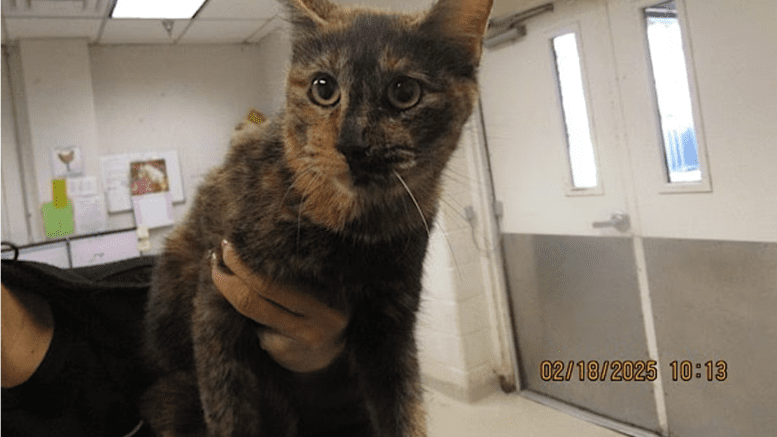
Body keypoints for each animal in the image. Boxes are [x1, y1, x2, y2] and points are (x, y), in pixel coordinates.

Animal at [143, 0, 494, 434]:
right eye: (323, 88)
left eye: (404, 92)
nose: (353, 143)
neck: (345, 231)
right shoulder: (216, 301)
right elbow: (228, 411)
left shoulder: (390, 321)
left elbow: (404, 409)